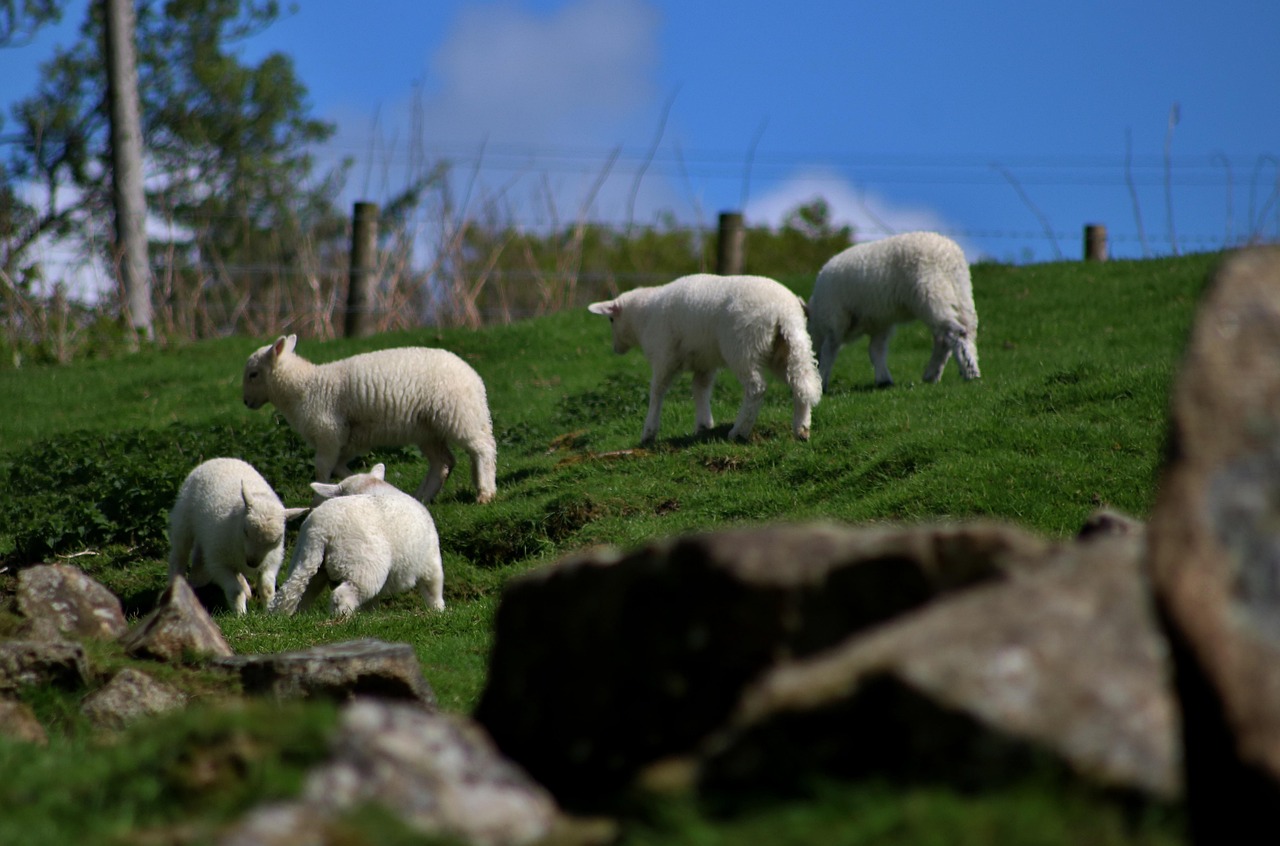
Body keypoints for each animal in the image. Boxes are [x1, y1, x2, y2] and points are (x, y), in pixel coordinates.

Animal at [166, 455, 308, 614]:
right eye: (245, 531)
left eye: (276, 540)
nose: (252, 563)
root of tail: (221, 458)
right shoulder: (219, 563)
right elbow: (235, 591)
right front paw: (241, 614)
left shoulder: (271, 561)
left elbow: (267, 589)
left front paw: (268, 611)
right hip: (183, 522)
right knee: (178, 557)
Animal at [241, 332, 496, 501]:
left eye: (253, 374)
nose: (245, 402)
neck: (305, 387)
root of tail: (475, 379)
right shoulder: (347, 440)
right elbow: (338, 468)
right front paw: (359, 482)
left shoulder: (328, 433)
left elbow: (322, 470)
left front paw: (317, 503)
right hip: (427, 429)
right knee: (443, 462)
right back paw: (422, 497)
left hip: (458, 415)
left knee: (482, 448)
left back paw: (485, 492)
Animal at [268, 460, 445, 614]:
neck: (370, 487)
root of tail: (322, 530)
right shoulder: (430, 559)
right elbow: (433, 588)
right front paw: (438, 611)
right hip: (363, 566)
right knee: (343, 595)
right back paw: (342, 618)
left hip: (308, 559)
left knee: (295, 591)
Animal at [586, 273, 819, 445]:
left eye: (611, 319)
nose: (615, 349)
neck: (643, 317)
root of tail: (784, 311)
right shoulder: (704, 362)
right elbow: (700, 389)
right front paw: (703, 425)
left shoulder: (663, 356)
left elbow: (657, 391)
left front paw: (649, 432)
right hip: (788, 347)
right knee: (802, 383)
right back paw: (801, 429)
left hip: (743, 347)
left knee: (756, 389)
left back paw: (739, 431)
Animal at [803, 230, 983, 389]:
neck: (817, 318)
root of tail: (950, 255)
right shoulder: (880, 323)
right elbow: (876, 351)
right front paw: (884, 380)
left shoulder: (835, 319)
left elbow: (830, 350)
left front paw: (822, 381)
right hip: (961, 294)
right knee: (958, 334)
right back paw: (936, 374)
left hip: (931, 294)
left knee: (954, 332)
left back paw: (969, 372)